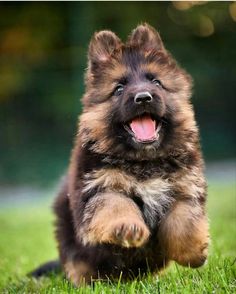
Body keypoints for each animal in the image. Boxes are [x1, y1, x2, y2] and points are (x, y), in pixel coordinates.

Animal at [34, 24, 209, 286]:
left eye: (156, 82)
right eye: (119, 88)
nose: (143, 97)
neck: (144, 160)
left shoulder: (184, 187)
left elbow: (183, 220)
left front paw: (193, 252)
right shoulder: (101, 187)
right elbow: (117, 205)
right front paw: (128, 228)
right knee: (77, 263)